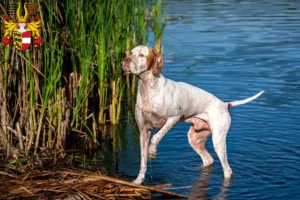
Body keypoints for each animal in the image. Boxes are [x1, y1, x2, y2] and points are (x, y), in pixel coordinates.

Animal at [122, 45, 262, 184]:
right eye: (131, 53)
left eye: (141, 55)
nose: (125, 60)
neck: (148, 88)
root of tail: (225, 104)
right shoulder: (143, 132)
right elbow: (143, 162)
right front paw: (138, 181)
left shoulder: (174, 117)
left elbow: (156, 137)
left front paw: (152, 151)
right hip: (194, 139)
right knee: (208, 160)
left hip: (218, 141)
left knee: (227, 170)